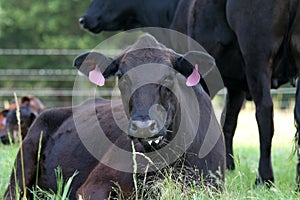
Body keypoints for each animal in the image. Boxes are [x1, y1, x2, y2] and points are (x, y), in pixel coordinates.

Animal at [79, 0, 300, 186]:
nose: (84, 18)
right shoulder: (236, 84)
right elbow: (229, 121)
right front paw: (229, 166)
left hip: (256, 54)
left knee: (264, 111)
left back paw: (264, 178)